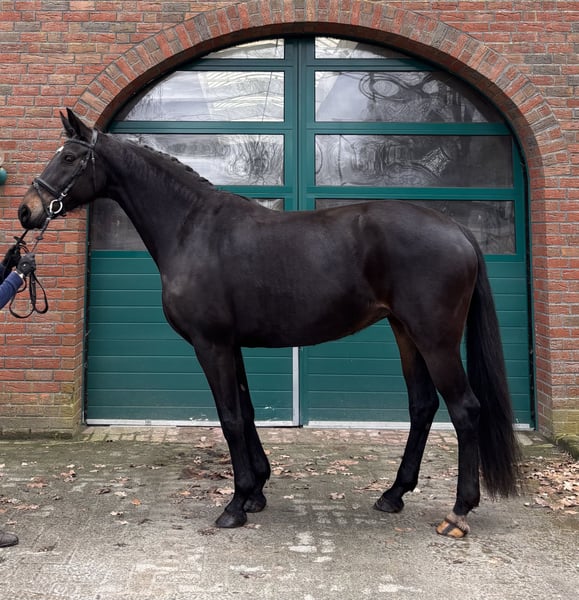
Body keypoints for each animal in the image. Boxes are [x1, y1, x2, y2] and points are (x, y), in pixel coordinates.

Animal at [18, 109, 520, 537]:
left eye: (69, 157)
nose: (27, 211)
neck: (191, 229)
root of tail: (457, 229)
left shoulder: (211, 344)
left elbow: (229, 418)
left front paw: (235, 504)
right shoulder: (231, 344)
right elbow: (246, 411)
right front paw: (256, 490)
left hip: (435, 339)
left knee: (464, 409)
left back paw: (458, 512)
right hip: (405, 332)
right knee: (422, 406)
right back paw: (393, 494)